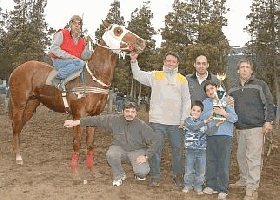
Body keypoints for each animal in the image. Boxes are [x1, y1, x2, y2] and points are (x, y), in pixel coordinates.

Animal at [8, 20, 147, 173]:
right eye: (118, 30)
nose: (142, 42)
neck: (92, 78)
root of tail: (16, 69)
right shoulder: (78, 115)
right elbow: (77, 143)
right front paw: (74, 169)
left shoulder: (94, 116)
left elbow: (90, 143)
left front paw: (91, 168)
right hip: (19, 104)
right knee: (16, 127)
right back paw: (18, 157)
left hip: (31, 106)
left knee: (18, 127)